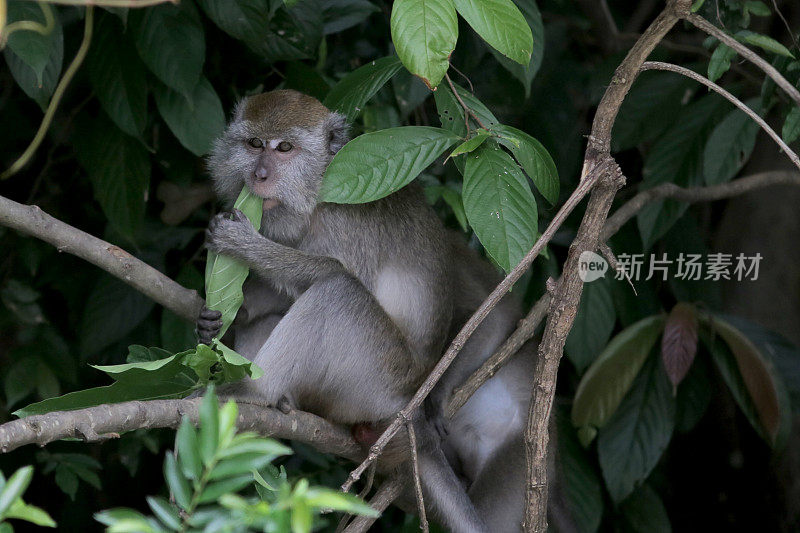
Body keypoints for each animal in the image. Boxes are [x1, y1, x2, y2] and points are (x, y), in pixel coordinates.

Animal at [195, 89, 568, 528]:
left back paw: (256, 390)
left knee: (338, 292)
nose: (260, 175)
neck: (316, 193)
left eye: (285, 148)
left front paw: (246, 246)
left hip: (374, 378)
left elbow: (337, 272)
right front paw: (213, 320)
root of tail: (406, 409)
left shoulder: (344, 218)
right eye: (254, 144)